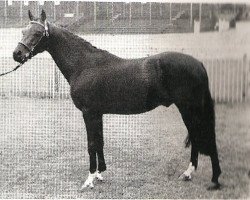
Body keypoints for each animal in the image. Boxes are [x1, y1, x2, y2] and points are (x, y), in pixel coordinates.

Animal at [12, 10, 222, 191]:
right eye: (23, 31)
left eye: (38, 32)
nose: (17, 54)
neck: (84, 65)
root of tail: (199, 63)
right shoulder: (97, 113)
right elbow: (100, 142)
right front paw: (99, 174)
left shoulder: (89, 113)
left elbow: (91, 144)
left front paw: (89, 180)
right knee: (197, 137)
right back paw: (189, 174)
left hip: (190, 109)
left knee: (204, 137)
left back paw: (213, 179)